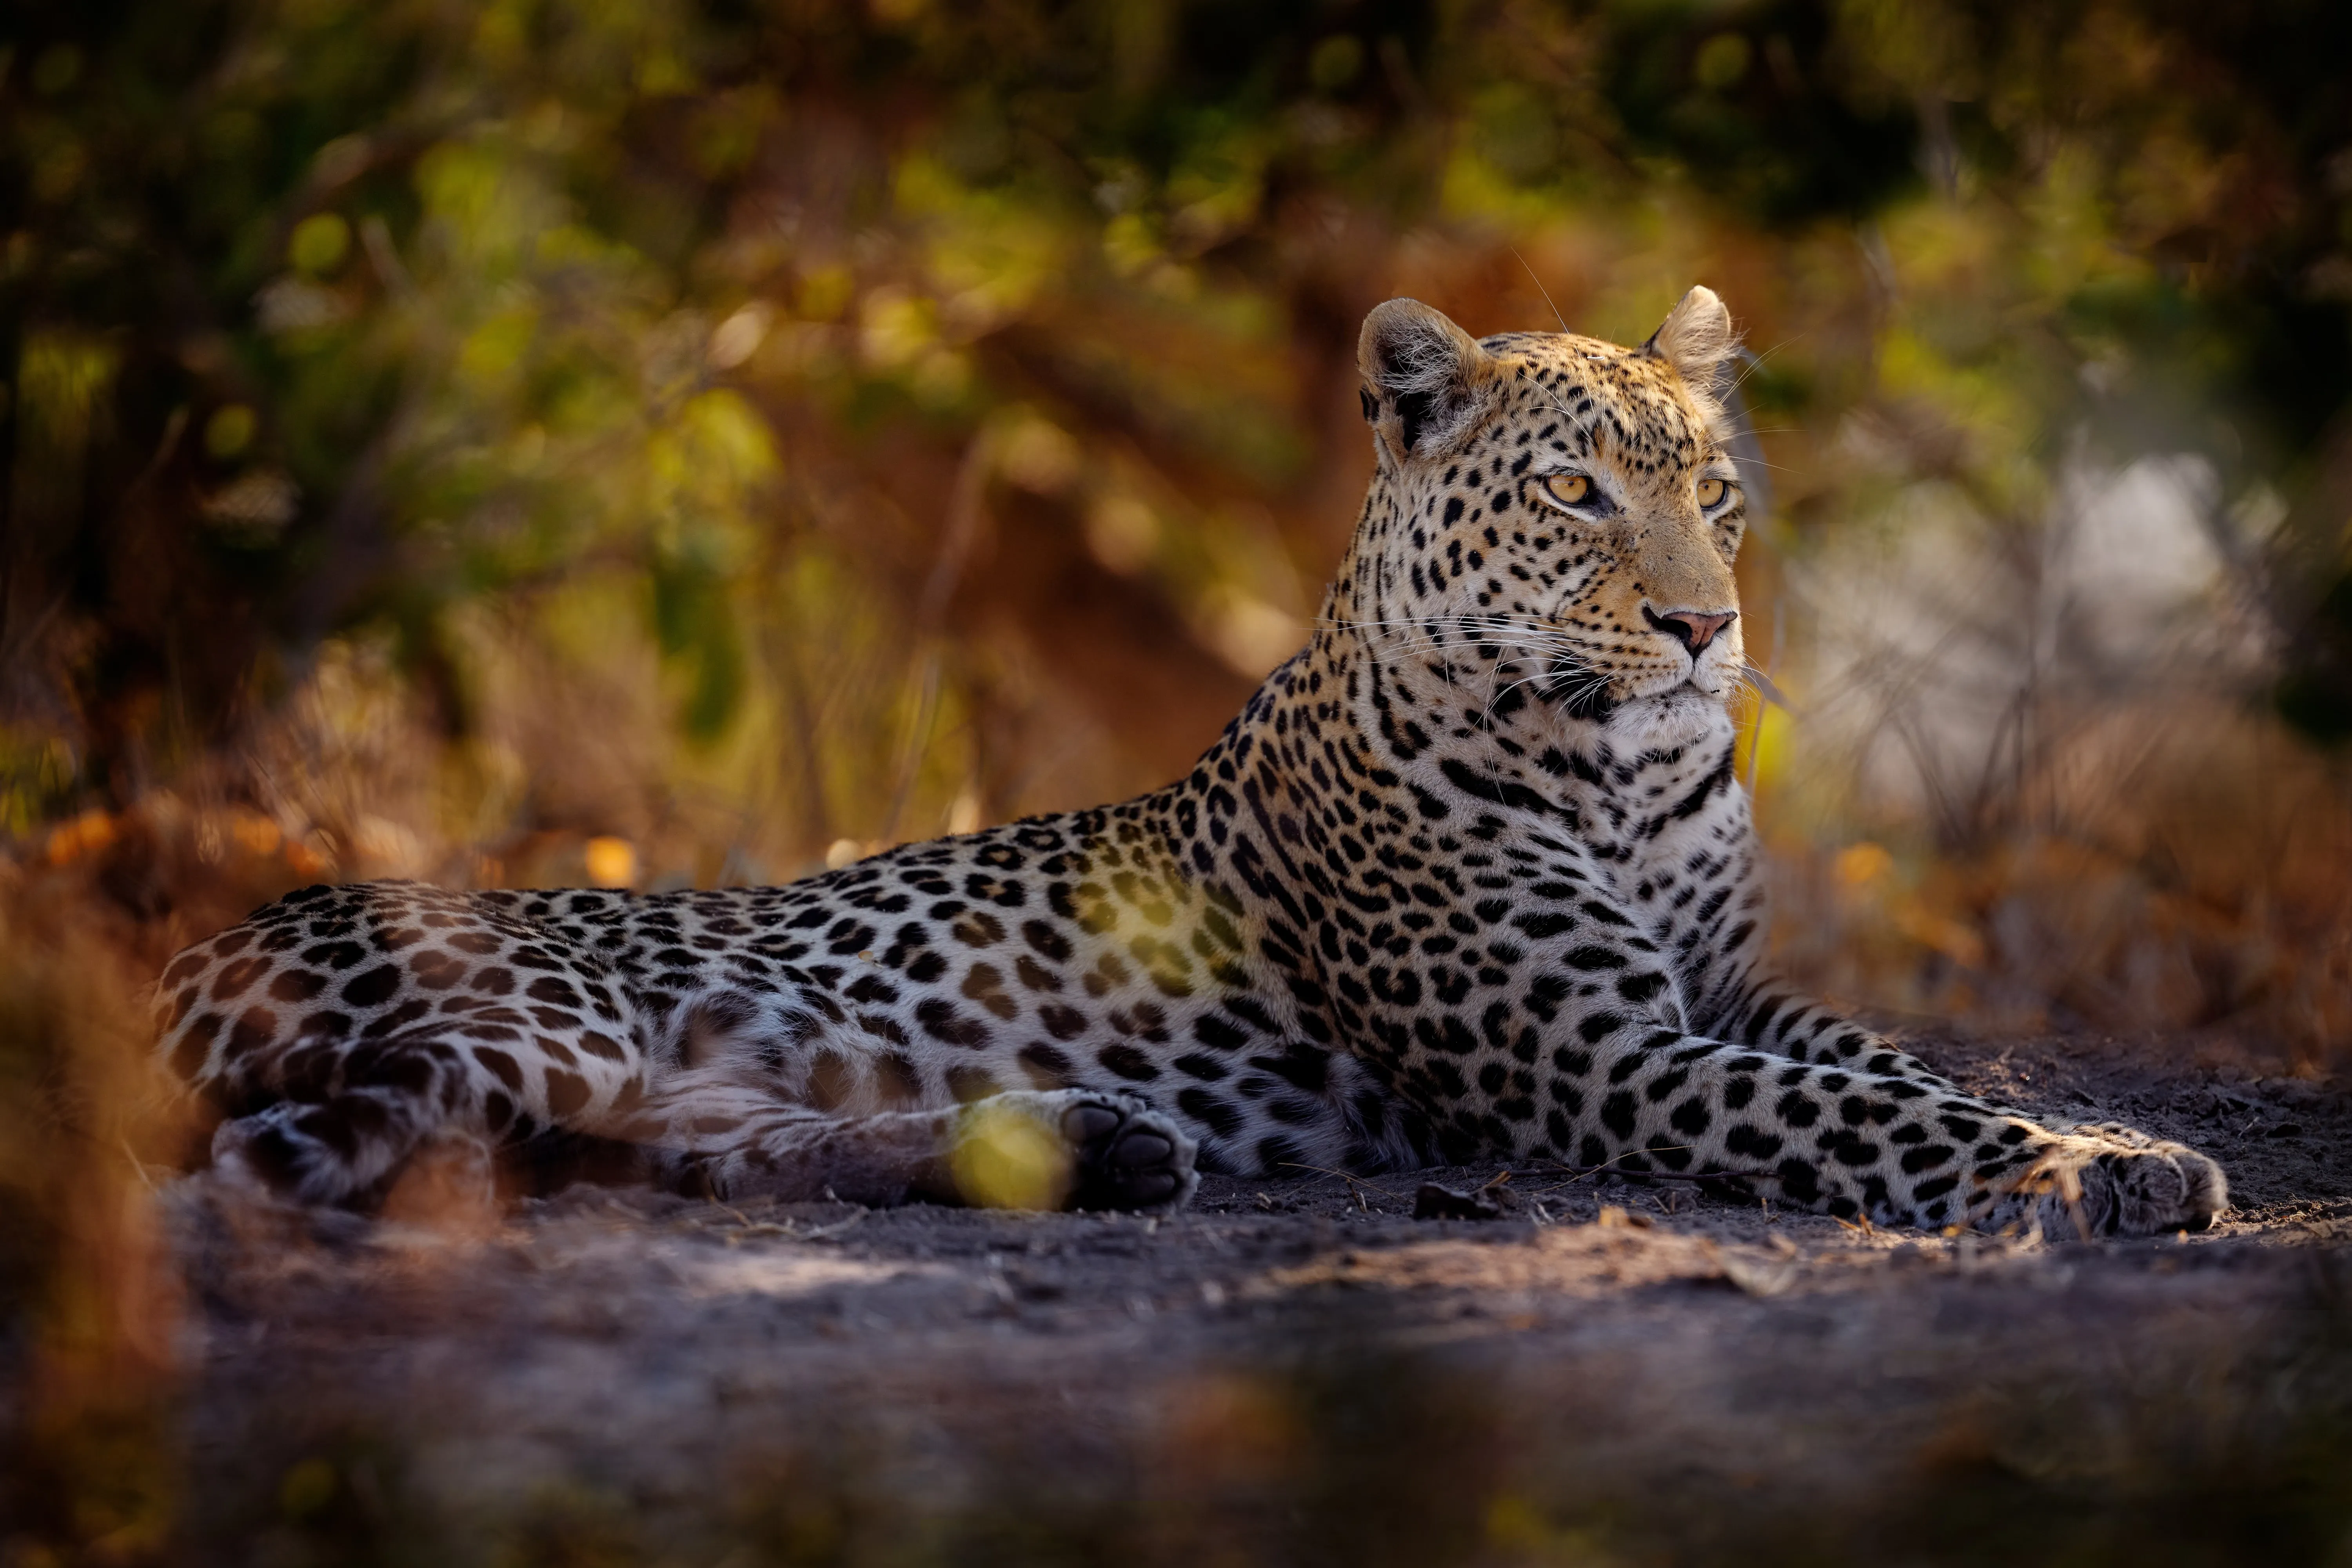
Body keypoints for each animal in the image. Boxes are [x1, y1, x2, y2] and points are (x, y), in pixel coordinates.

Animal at [152, 287, 2227, 1238]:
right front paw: (2087, 1167)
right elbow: (1865, 1118)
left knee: (700, 1151)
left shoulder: (1732, 998)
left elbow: (1898, 1064)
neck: (1625, 780)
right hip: (549, 1005)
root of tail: (188, 948)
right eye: (1575, 493)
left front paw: (2123, 1141)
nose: (1703, 627)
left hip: (685, 1077)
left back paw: (1097, 1141)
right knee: (387, 1144)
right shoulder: (1597, 1057)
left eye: (1711, 492)